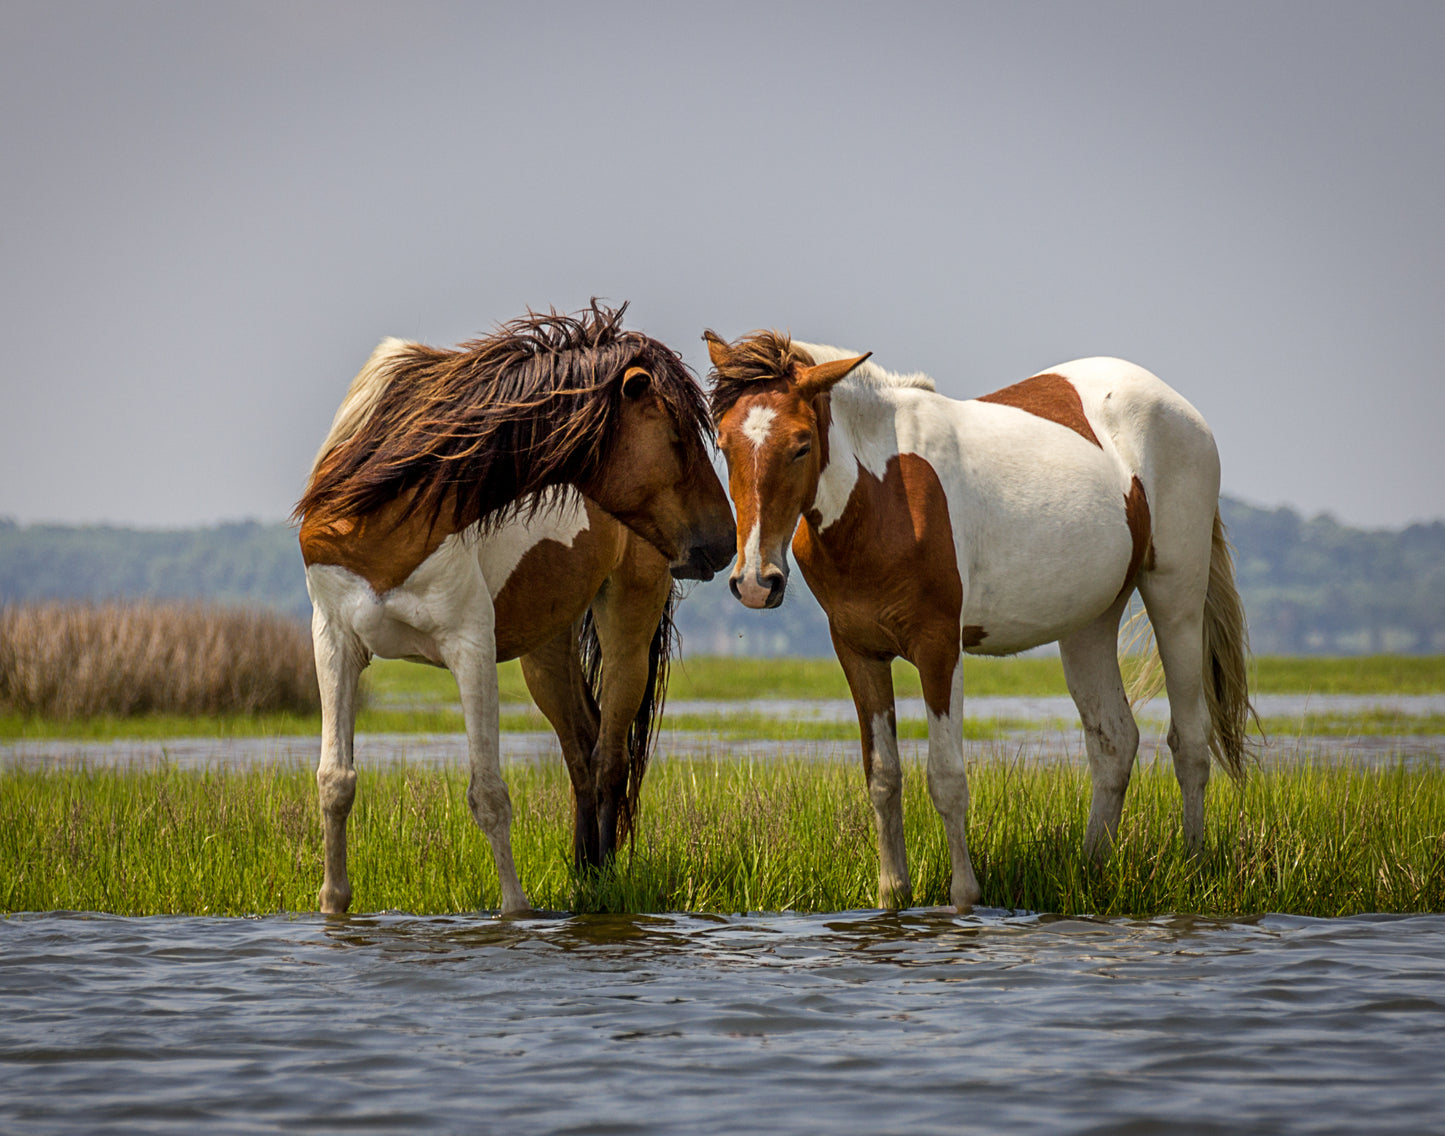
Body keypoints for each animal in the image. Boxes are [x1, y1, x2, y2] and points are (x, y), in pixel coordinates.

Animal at [294, 302, 734, 915]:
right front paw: (333, 905)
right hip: (546, 647)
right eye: (675, 434)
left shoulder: (470, 647)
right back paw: (584, 877)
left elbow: (488, 793)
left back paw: (601, 884)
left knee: (610, 758)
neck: (387, 505)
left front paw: (516, 910)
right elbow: (335, 780)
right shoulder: (334, 641)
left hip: (628, 622)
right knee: (582, 748)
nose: (726, 540)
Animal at [705, 329, 1256, 912]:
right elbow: (883, 778)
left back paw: (1193, 868)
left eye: (802, 444)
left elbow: (946, 778)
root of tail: (1182, 411)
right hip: (1090, 619)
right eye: (724, 444)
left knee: (1189, 740)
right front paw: (892, 894)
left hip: (1176, 595)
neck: (880, 495)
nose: (756, 581)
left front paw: (964, 896)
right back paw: (1092, 869)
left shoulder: (938, 647)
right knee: (1113, 740)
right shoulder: (858, 651)